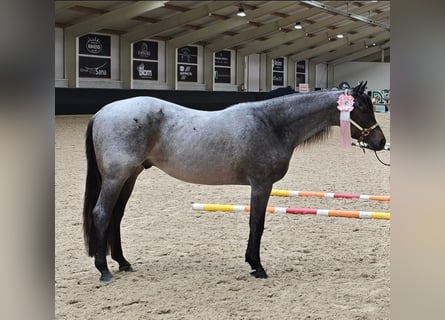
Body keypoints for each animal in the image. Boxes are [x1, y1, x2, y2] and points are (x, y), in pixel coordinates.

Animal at [83, 81, 386, 282]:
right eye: (360, 107)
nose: (381, 141)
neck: (271, 124)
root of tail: (102, 112)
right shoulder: (261, 184)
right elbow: (257, 223)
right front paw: (257, 266)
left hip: (130, 176)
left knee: (116, 215)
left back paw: (122, 262)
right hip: (116, 177)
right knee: (102, 214)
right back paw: (104, 270)